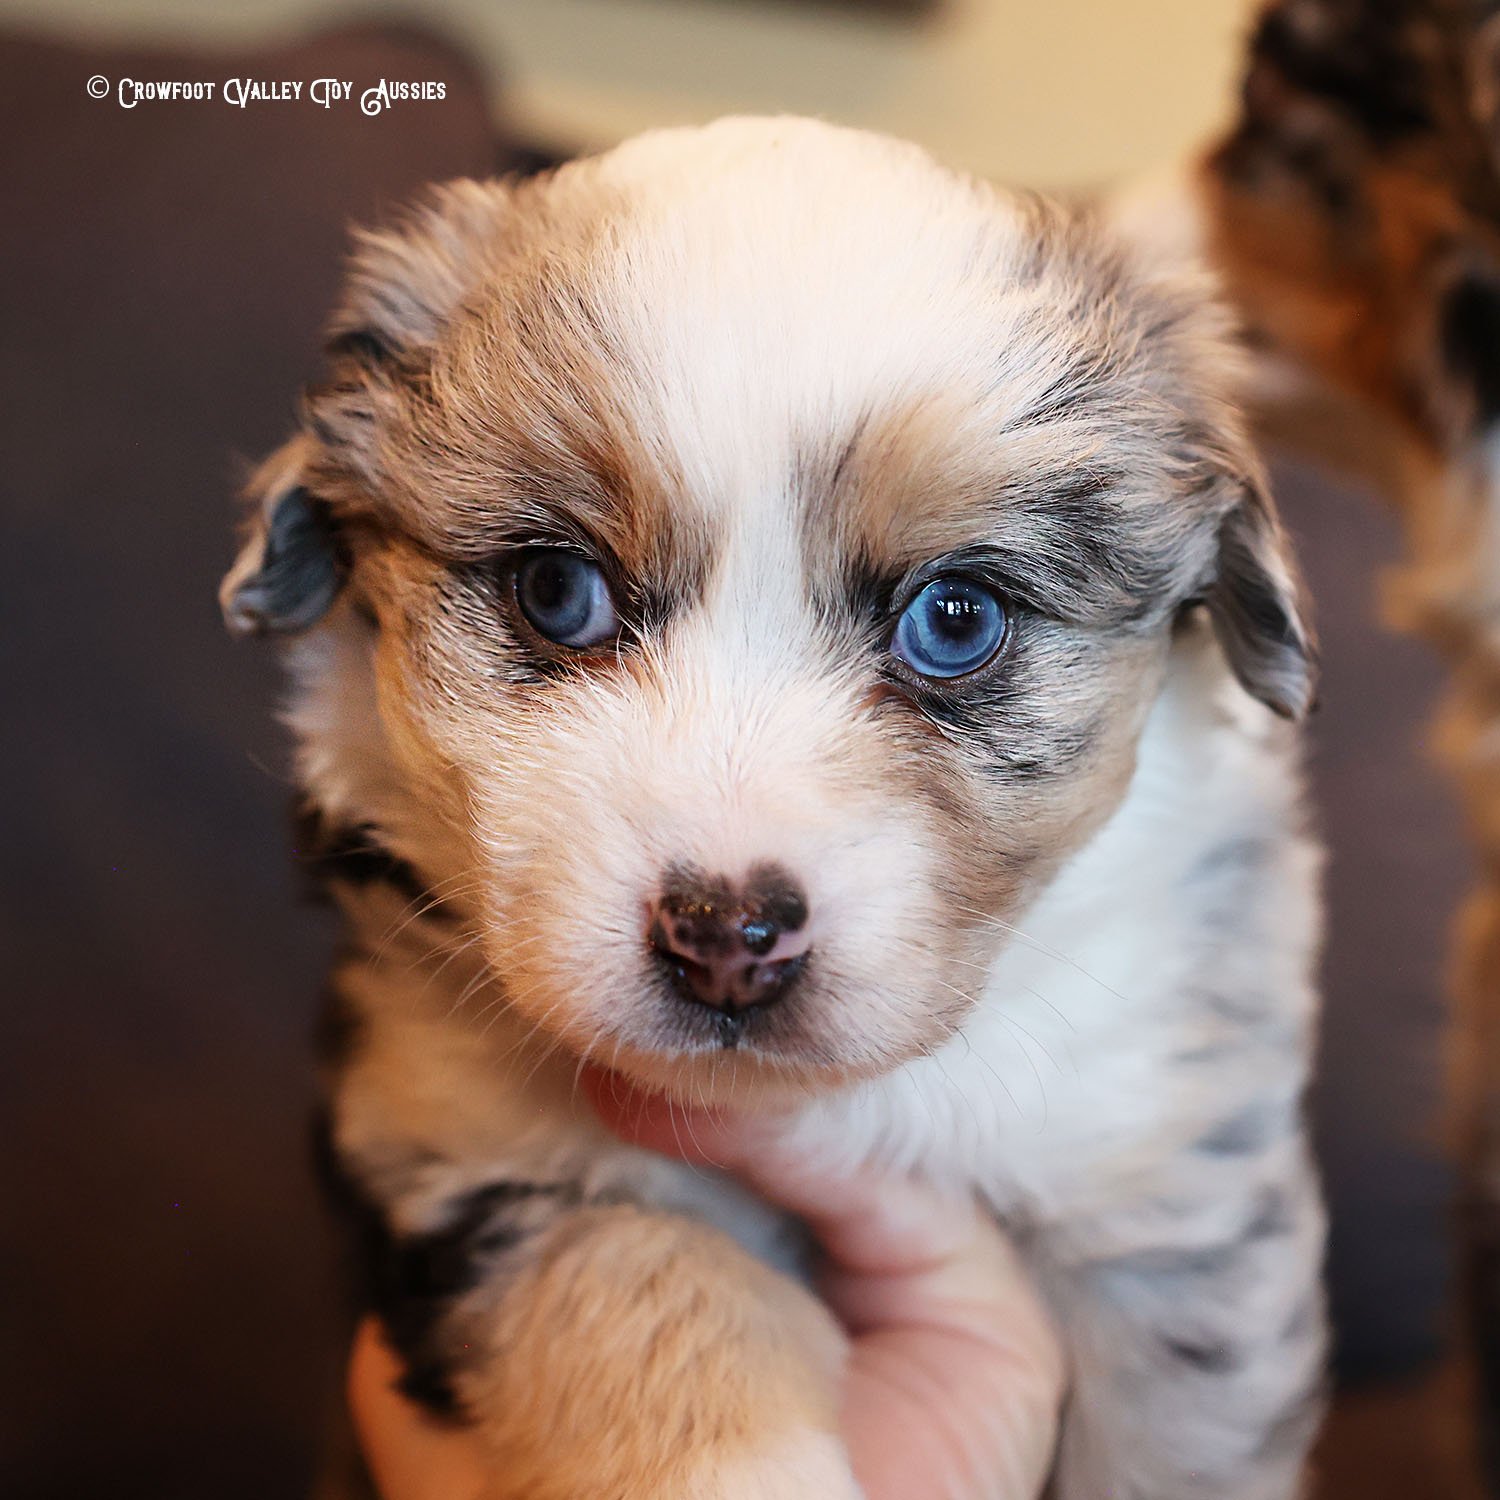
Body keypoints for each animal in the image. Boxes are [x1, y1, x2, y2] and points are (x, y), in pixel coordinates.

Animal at [219, 117, 1326, 1500]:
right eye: (555, 589)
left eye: (956, 618)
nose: (726, 938)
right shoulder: (459, 1145)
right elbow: (638, 1281)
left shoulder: (1167, 1183)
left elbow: (1176, 1430)